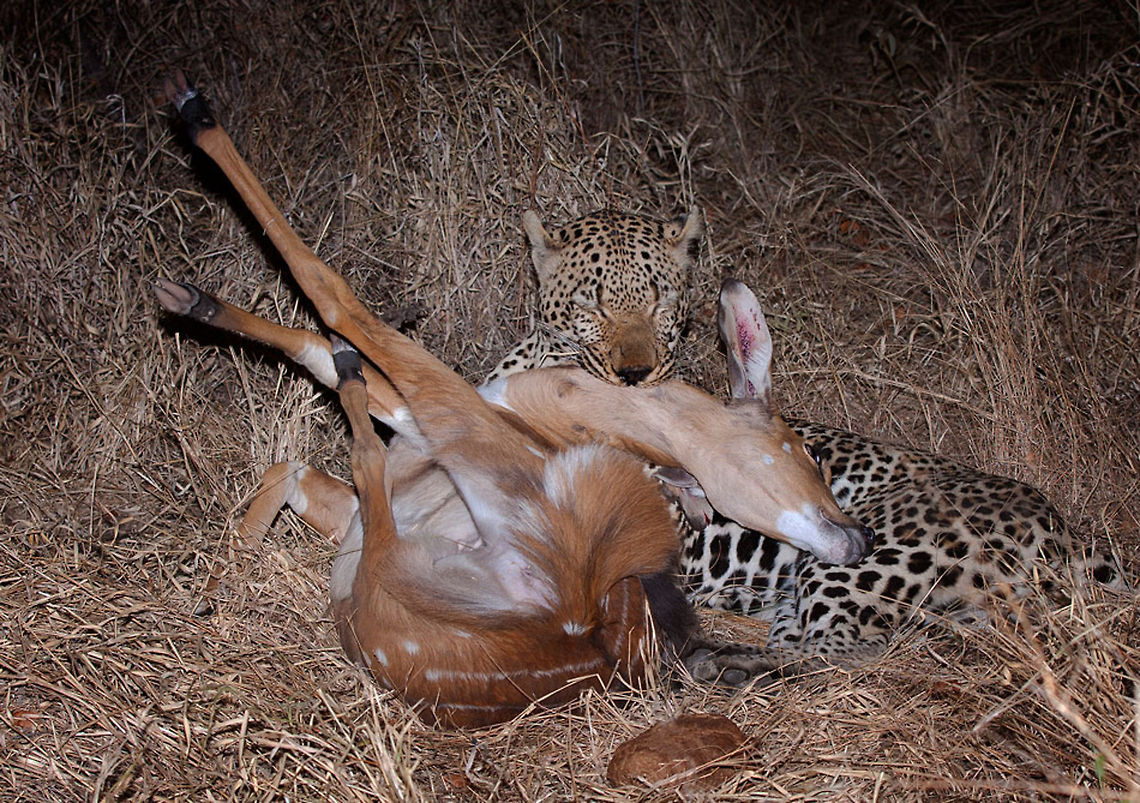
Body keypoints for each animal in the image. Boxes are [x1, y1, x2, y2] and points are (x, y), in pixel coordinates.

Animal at [156, 73, 870, 726]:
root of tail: (579, 634)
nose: (858, 539)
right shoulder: (441, 418)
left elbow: (331, 300)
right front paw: (195, 299)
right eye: (804, 452)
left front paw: (194, 122)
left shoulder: (455, 414)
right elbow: (319, 350)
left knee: (349, 395)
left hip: (461, 481)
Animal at [489, 207, 1124, 685]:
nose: (634, 375)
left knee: (846, 650)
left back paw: (723, 662)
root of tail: (1072, 539)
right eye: (590, 304)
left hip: (868, 557)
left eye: (660, 304)